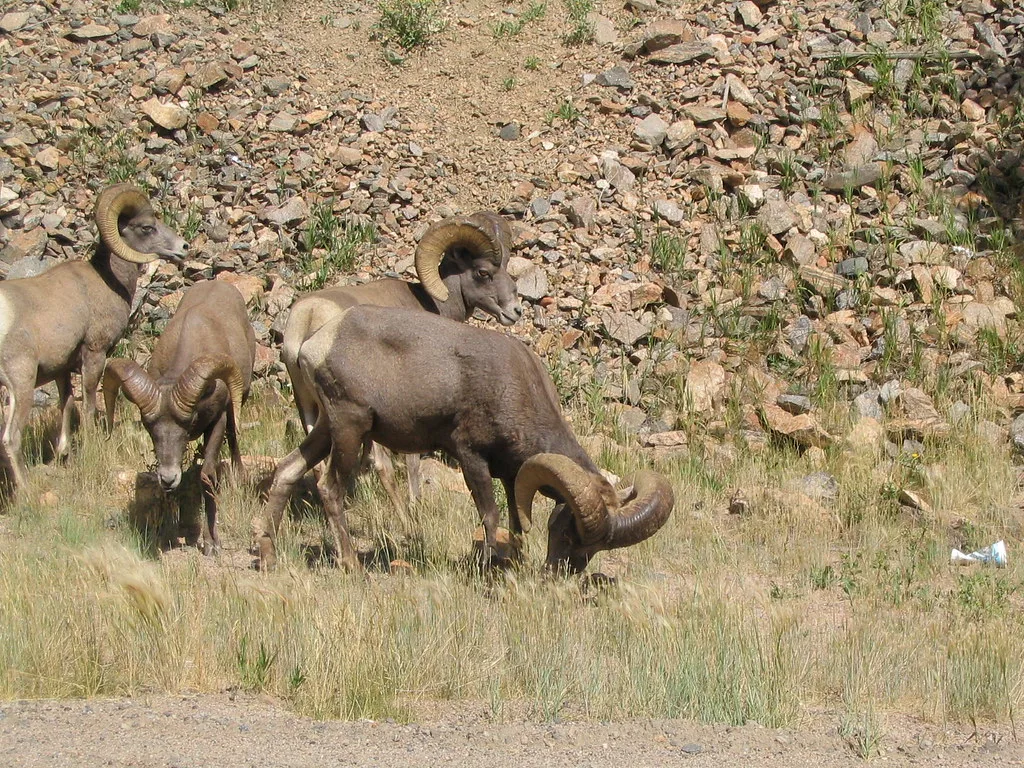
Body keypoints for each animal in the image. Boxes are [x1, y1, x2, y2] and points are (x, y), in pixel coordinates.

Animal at [0, 184, 188, 490]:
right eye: (147, 227)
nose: (183, 248)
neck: (105, 281)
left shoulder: (62, 370)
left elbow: (66, 407)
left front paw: (63, 455)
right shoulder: (94, 355)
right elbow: (87, 406)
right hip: (22, 384)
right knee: (11, 438)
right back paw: (26, 491)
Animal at [103, 280, 255, 554]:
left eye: (188, 424)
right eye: (150, 428)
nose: (168, 478)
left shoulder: (216, 421)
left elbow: (207, 476)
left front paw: (211, 544)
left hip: (238, 403)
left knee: (234, 437)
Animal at [256, 305, 674, 574]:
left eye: (596, 547)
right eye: (570, 533)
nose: (562, 574)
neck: (516, 387)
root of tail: (317, 343)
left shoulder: (511, 474)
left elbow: (516, 522)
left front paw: (514, 565)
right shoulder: (470, 456)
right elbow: (490, 516)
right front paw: (490, 569)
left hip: (327, 429)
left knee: (287, 471)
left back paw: (269, 558)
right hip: (349, 427)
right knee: (330, 489)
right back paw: (351, 567)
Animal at [282, 211, 523, 514]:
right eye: (483, 272)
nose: (515, 311)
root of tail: (309, 317)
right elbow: (411, 462)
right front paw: (414, 501)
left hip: (311, 409)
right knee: (380, 465)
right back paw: (404, 516)